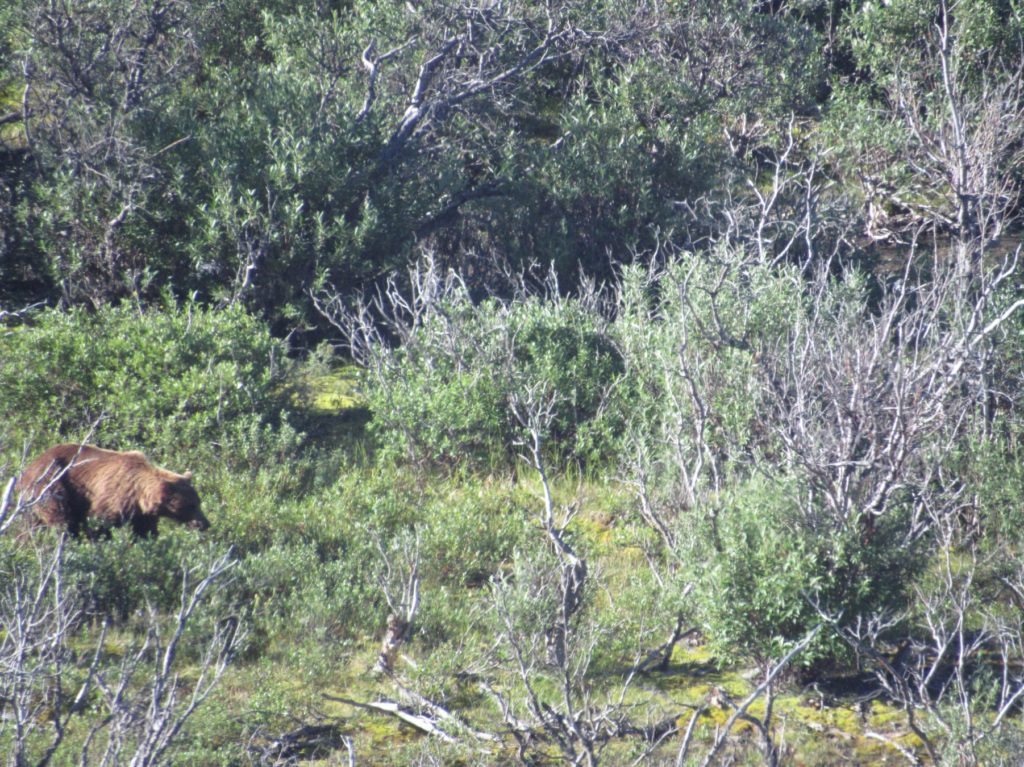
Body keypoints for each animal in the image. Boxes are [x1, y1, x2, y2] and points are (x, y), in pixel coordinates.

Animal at [15, 446, 209, 536]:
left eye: (198, 502)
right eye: (191, 505)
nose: (205, 524)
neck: (138, 497)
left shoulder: (141, 514)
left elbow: (146, 532)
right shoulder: (111, 497)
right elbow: (100, 523)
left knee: (29, 526)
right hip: (51, 486)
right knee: (61, 520)